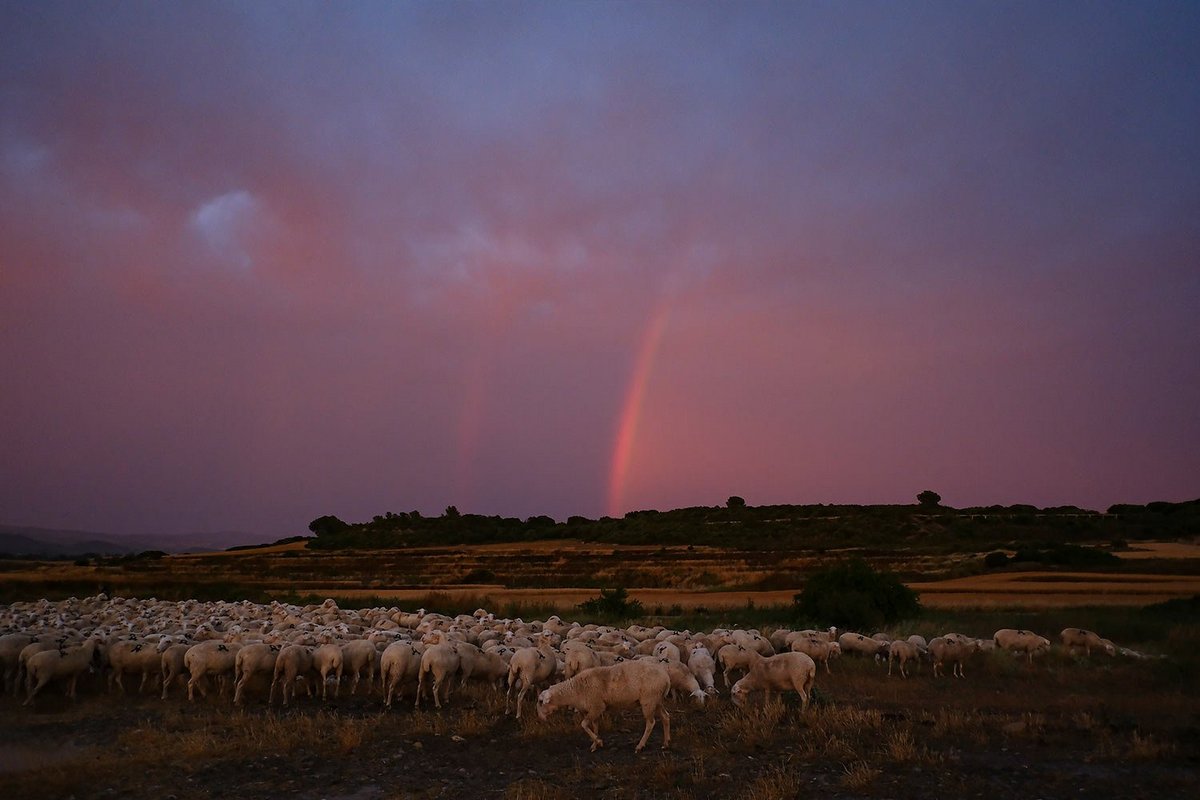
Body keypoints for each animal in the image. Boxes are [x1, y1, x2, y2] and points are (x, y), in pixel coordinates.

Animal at [537, 657, 672, 753]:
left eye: (540, 702)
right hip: (657, 701)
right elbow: (594, 726)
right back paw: (665, 743)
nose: (540, 718)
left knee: (650, 723)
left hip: (648, 700)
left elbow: (584, 724)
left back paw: (640, 746)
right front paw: (595, 745)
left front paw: (599, 742)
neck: (574, 690)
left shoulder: (597, 706)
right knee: (665, 717)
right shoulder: (592, 709)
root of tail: (666, 677)